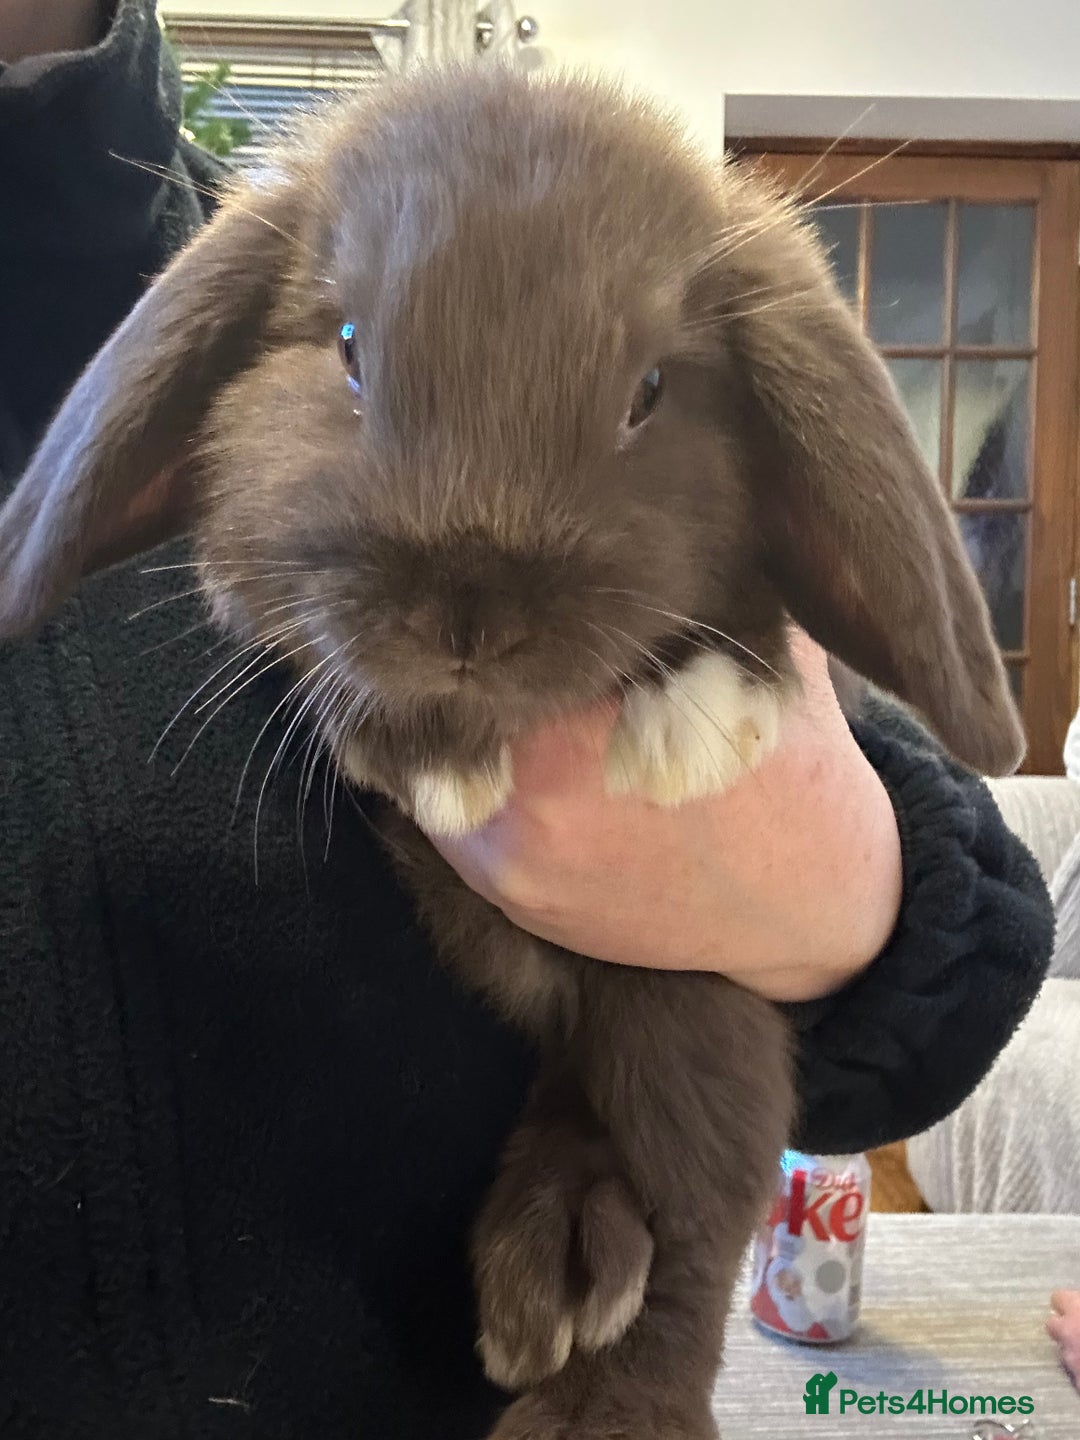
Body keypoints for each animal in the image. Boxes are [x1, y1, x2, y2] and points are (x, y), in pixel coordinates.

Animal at [0, 66, 1023, 1440]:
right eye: (348, 351)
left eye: (649, 392)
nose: (469, 615)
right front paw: (432, 755)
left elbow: (745, 628)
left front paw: (693, 724)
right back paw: (556, 1285)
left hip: (691, 1006)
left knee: (689, 1226)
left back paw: (584, 1361)